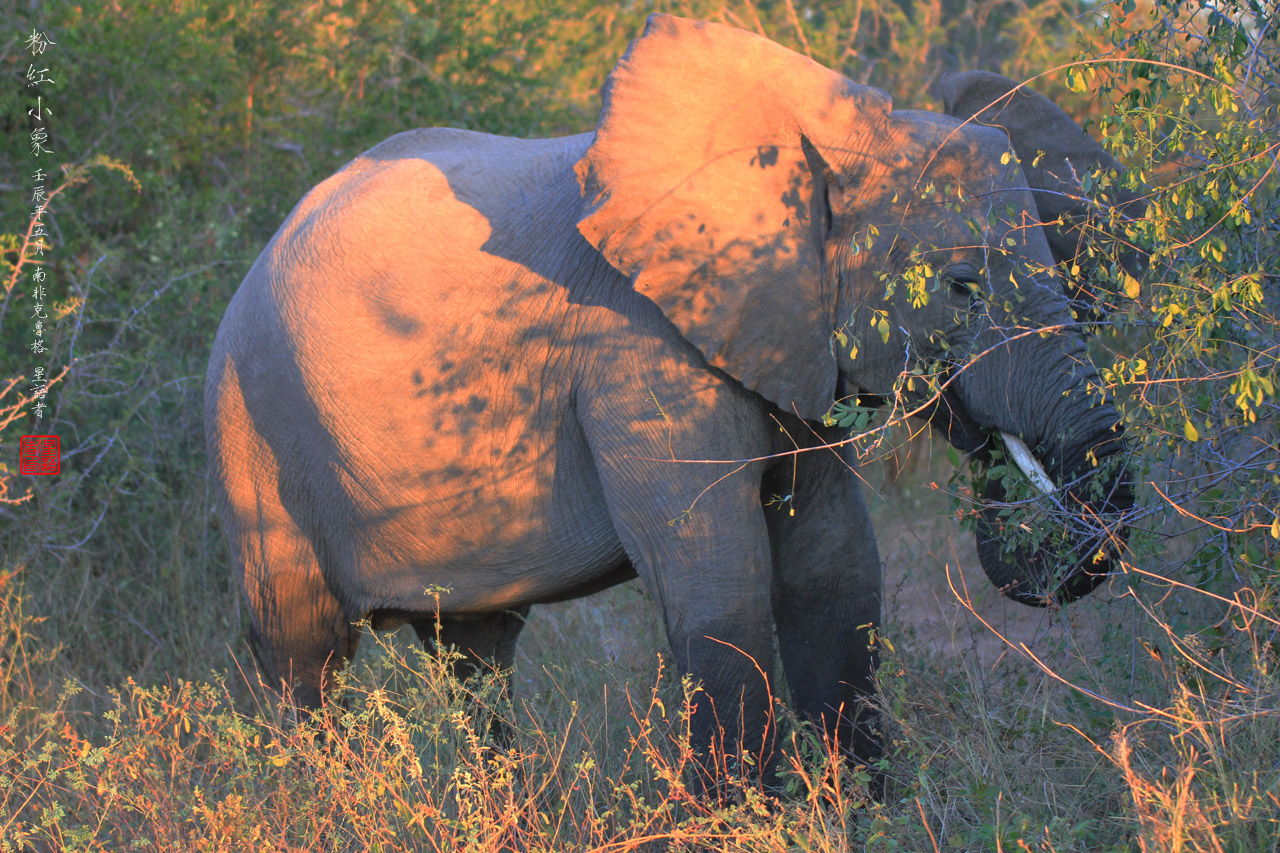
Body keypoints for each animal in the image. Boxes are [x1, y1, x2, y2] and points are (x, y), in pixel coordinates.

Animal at [204, 14, 1136, 783]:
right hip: (250, 428)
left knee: (476, 654)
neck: (822, 137)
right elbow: (723, 585)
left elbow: (834, 572)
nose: (998, 455)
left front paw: (871, 812)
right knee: (303, 657)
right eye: (960, 288)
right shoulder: (635, 347)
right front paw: (746, 820)